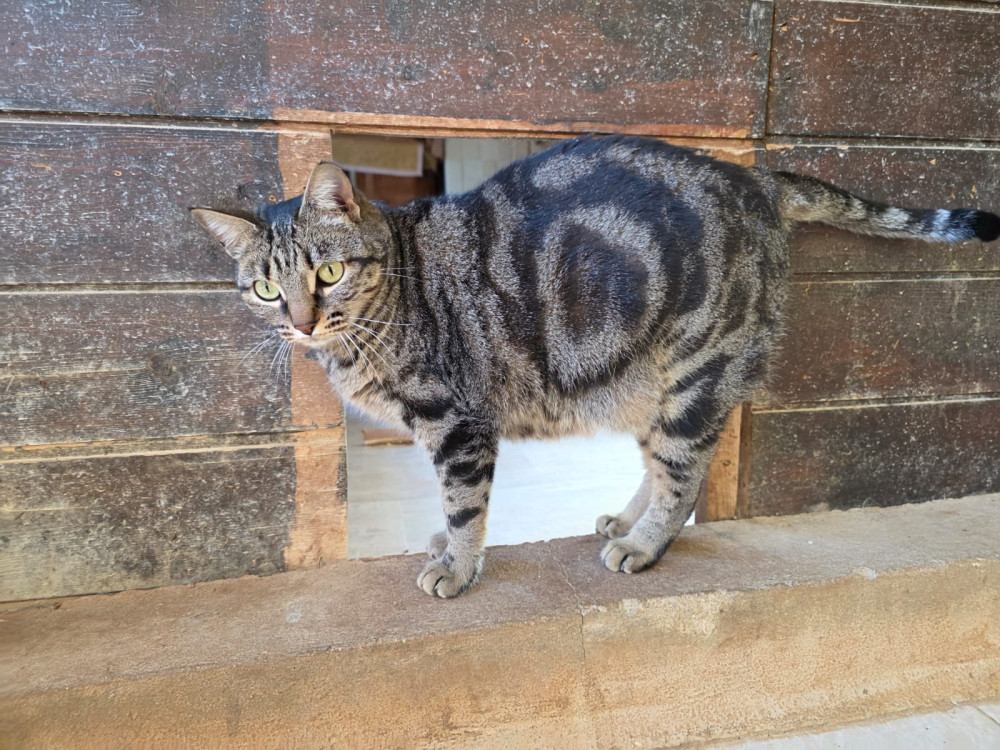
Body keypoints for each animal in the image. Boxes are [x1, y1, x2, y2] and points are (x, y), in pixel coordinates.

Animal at [192, 134, 999, 598]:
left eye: (327, 274)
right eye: (267, 289)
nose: (301, 323)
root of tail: (757, 178)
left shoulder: (459, 426)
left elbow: (464, 506)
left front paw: (458, 566)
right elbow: (452, 510)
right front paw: (447, 548)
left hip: (694, 374)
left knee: (684, 476)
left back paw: (643, 544)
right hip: (652, 382)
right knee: (666, 464)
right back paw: (626, 519)